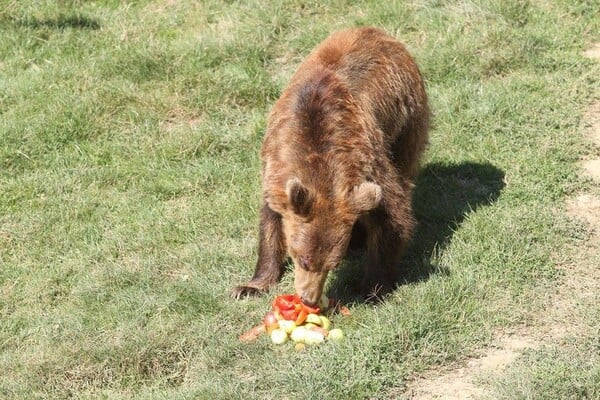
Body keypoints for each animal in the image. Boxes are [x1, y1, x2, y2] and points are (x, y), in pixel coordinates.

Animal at [232, 25, 428, 306]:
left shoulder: (369, 162)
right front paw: (251, 285)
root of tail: (377, 31)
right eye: (303, 258)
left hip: (406, 120)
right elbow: (270, 219)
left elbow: (392, 213)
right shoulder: (275, 162)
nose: (308, 299)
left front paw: (371, 286)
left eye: (331, 265)